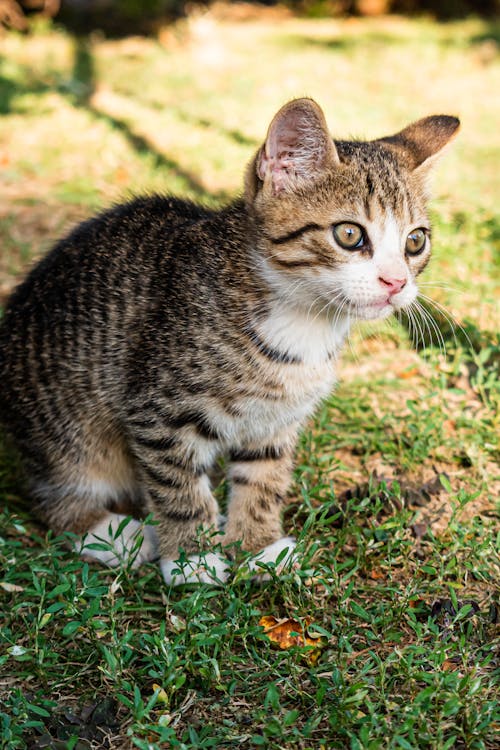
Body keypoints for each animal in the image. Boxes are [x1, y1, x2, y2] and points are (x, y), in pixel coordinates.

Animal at [0, 97, 458, 584]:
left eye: (415, 242)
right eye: (349, 234)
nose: (396, 282)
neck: (304, 320)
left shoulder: (276, 420)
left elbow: (265, 478)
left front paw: (259, 547)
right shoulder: (156, 411)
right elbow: (178, 485)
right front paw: (192, 560)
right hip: (68, 427)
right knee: (52, 492)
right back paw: (111, 533)